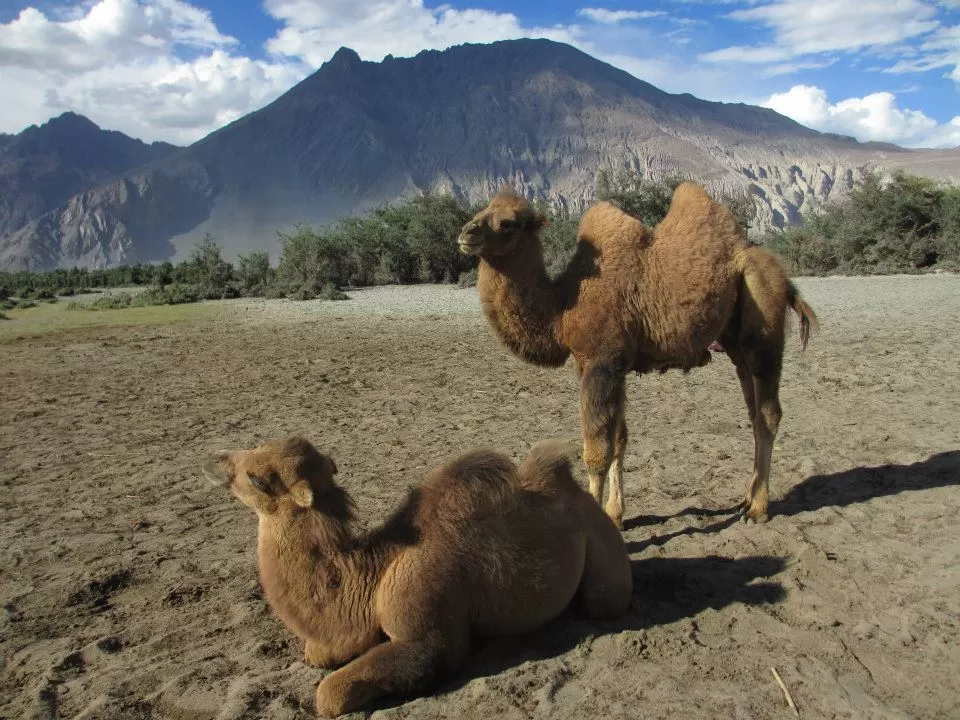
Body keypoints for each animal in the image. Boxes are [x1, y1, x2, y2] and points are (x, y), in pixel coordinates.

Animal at [203, 436, 631, 717]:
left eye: (258, 479)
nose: (212, 459)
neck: (369, 578)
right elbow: (318, 653)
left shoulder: (427, 633)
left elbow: (330, 694)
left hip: (602, 559)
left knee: (604, 602)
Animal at [457, 182, 818, 528]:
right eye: (482, 210)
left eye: (509, 223)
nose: (466, 233)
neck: (564, 308)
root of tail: (781, 273)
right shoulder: (603, 366)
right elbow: (619, 439)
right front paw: (616, 516)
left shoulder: (602, 362)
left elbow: (596, 450)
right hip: (734, 341)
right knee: (754, 411)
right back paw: (747, 498)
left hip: (763, 317)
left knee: (769, 411)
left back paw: (758, 509)